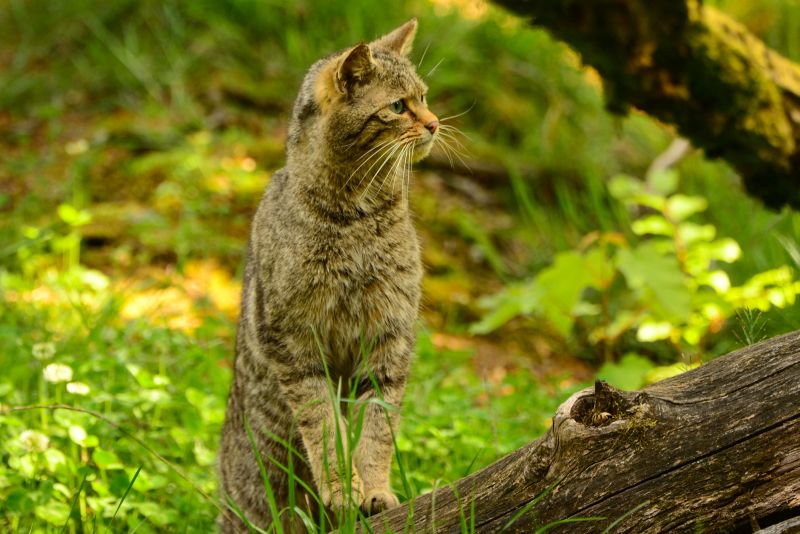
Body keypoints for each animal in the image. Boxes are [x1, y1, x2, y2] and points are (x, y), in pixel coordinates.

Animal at [217, 18, 438, 532]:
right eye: (398, 106)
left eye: (424, 96)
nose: (435, 123)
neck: (355, 217)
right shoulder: (296, 345)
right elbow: (326, 431)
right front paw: (342, 489)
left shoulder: (388, 341)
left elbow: (376, 431)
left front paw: (374, 490)